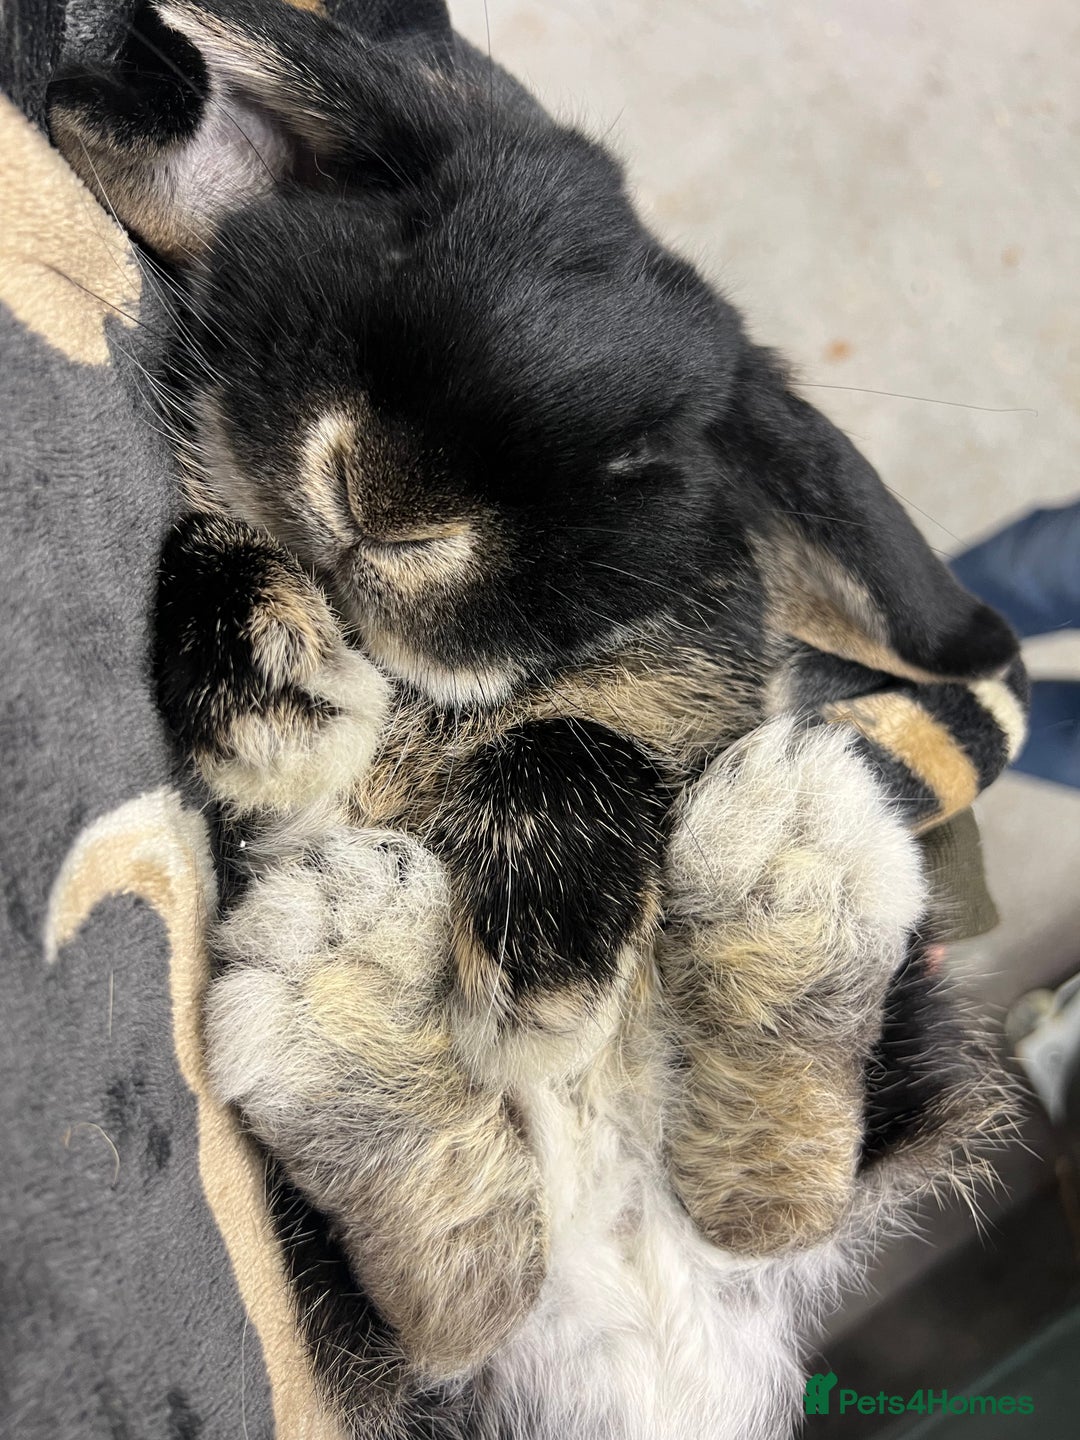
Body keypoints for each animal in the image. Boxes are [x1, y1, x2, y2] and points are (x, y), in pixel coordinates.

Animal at [50, 3, 1027, 1436]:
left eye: (642, 459)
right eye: (406, 238)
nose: (386, 500)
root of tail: (642, 1329)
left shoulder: (666, 697)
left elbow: (581, 742)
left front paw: (544, 983)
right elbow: (219, 557)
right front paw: (292, 707)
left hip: (887, 1048)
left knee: (775, 1197)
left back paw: (794, 851)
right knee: (475, 1292)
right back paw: (339, 985)